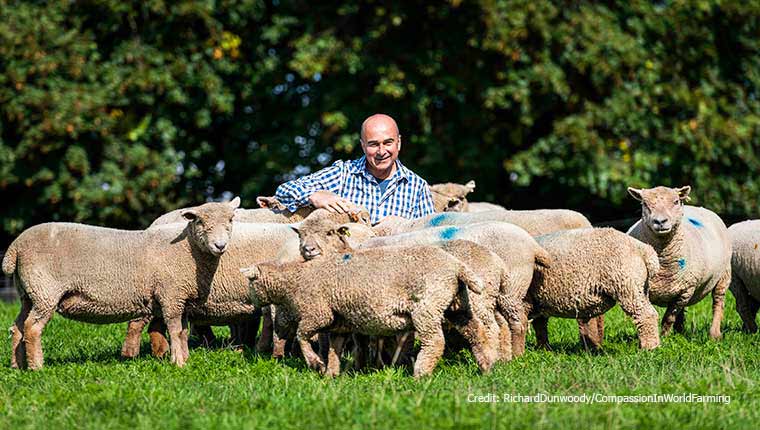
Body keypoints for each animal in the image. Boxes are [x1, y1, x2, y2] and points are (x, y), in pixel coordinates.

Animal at [2, 198, 240, 370]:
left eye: (230, 220)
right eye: (200, 222)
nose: (220, 245)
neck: (189, 251)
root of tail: (15, 247)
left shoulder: (180, 298)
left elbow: (181, 332)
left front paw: (184, 358)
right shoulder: (170, 295)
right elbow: (174, 330)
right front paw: (178, 363)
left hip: (28, 293)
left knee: (18, 327)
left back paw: (17, 366)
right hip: (45, 290)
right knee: (32, 328)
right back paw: (37, 367)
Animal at [240, 244, 496, 378]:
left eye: (250, 284)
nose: (251, 303)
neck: (295, 280)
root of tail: (457, 266)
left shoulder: (317, 312)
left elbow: (303, 336)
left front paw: (316, 364)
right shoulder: (338, 323)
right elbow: (334, 349)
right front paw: (331, 374)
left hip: (427, 306)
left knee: (435, 341)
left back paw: (421, 373)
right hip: (457, 304)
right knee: (476, 332)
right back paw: (486, 366)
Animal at [524, 228, 664, 350]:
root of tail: (644, 249)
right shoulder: (538, 301)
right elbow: (540, 325)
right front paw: (543, 349)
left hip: (627, 285)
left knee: (645, 315)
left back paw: (649, 347)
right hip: (640, 287)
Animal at [628, 186, 732, 340]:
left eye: (676, 201)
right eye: (644, 203)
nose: (660, 221)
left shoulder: (686, 290)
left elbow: (668, 318)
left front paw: (664, 338)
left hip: (724, 274)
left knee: (718, 301)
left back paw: (714, 334)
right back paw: (680, 332)